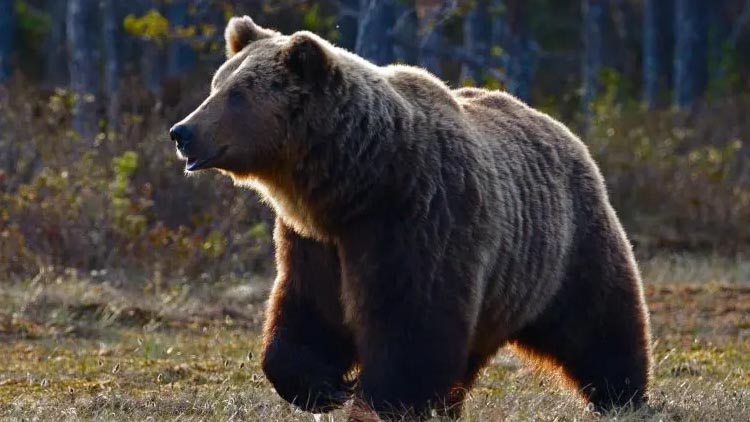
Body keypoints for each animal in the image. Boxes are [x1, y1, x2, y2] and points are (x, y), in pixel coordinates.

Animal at [169, 15, 653, 420]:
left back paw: (622, 395)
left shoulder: (419, 218)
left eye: (236, 94)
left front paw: (380, 400)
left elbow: (411, 323)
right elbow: (308, 310)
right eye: (216, 85)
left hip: (565, 244)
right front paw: (323, 387)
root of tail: (560, 128)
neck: (356, 183)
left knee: (599, 319)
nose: (181, 131)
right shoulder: (315, 241)